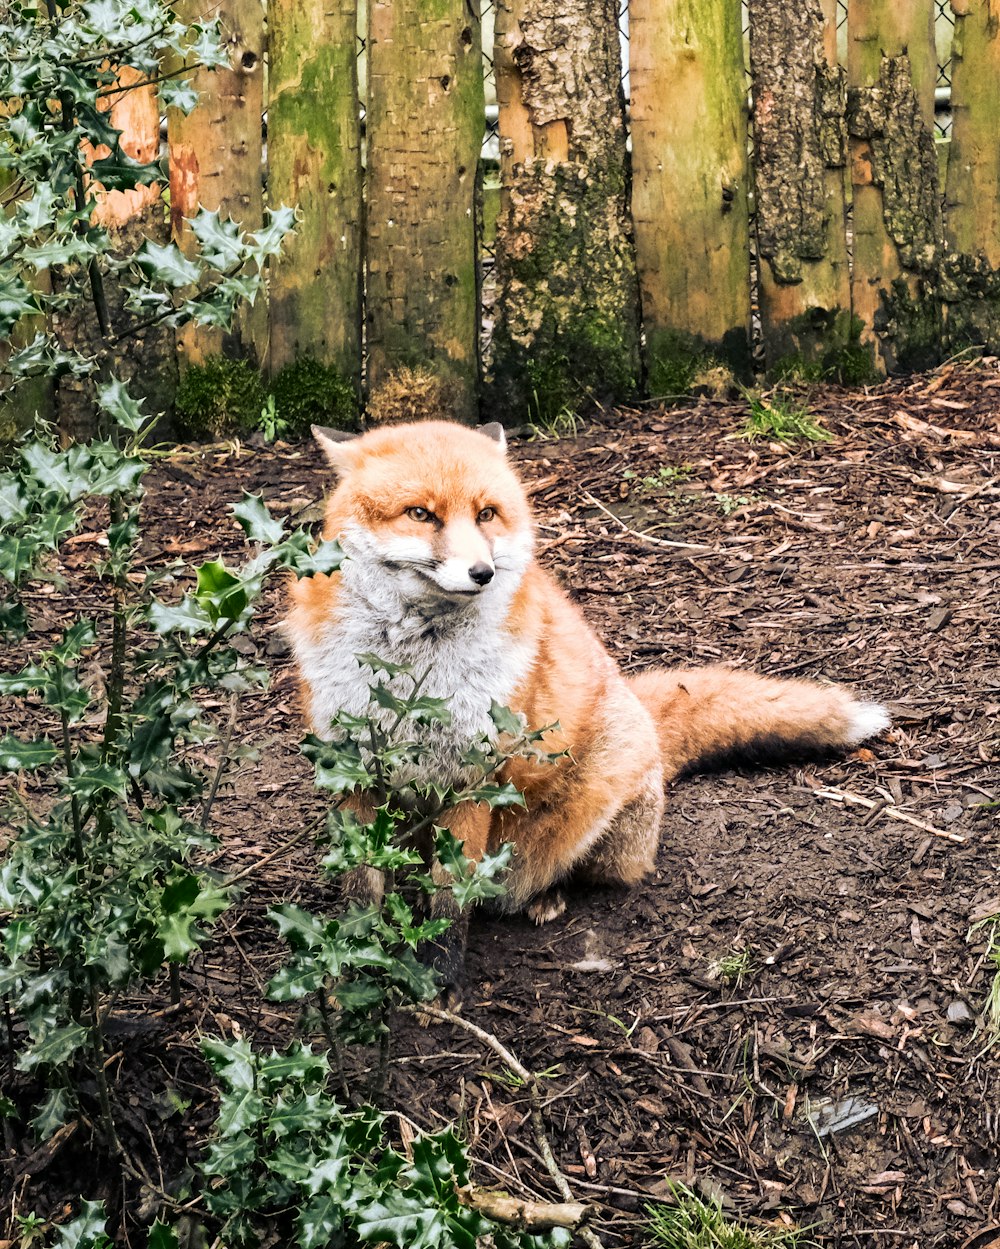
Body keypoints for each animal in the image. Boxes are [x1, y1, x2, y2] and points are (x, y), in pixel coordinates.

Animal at [284, 419, 883, 929]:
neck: (412, 674)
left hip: (598, 795)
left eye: (486, 514)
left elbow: (451, 906)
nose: (482, 572)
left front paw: (439, 980)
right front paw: (354, 971)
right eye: (419, 514)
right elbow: (360, 894)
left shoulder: (472, 776)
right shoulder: (351, 770)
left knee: (586, 873)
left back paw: (546, 896)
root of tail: (642, 717)